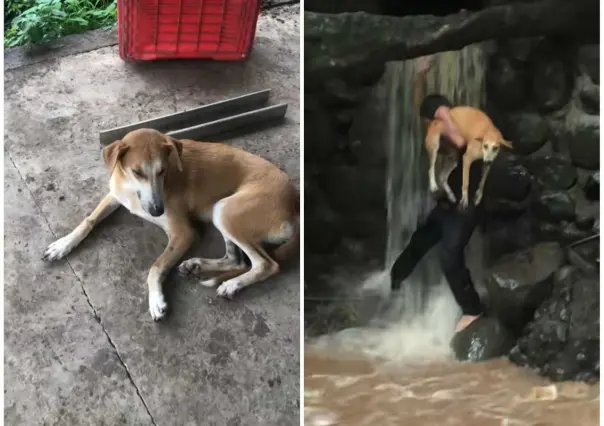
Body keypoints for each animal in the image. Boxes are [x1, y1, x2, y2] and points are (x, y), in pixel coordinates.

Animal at [41, 128, 298, 322]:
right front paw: (63, 244)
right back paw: (196, 265)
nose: (157, 210)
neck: (131, 190)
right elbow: (88, 220)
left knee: (265, 264)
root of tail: (294, 203)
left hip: (226, 210)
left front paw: (156, 300)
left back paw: (232, 285)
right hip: (221, 211)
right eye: (136, 172)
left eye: (162, 171)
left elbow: (155, 267)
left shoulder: (183, 233)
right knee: (237, 260)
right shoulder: (114, 195)